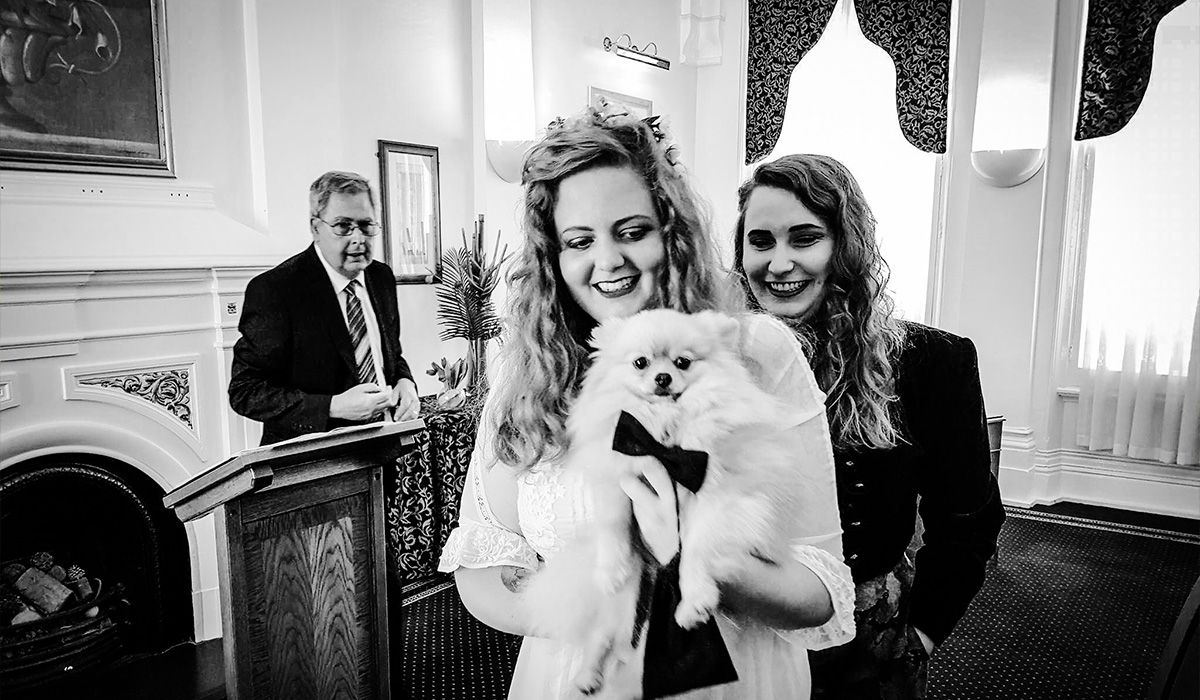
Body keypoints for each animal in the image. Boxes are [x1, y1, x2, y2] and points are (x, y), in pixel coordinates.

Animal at [523, 309, 806, 696]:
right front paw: (610, 568)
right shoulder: (618, 478)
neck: (663, 435)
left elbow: (696, 549)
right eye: (640, 362)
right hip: (626, 595)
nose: (662, 377)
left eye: (682, 362)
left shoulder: (720, 500)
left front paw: (695, 601)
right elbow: (612, 524)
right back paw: (589, 675)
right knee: (606, 632)